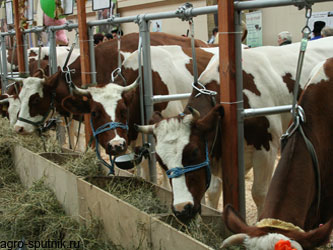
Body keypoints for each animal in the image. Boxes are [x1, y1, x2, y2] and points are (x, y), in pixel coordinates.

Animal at [136, 36, 332, 222]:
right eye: (161, 161)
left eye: (195, 153)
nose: (182, 209)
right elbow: (213, 191)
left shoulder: (266, 149)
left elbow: (260, 193)